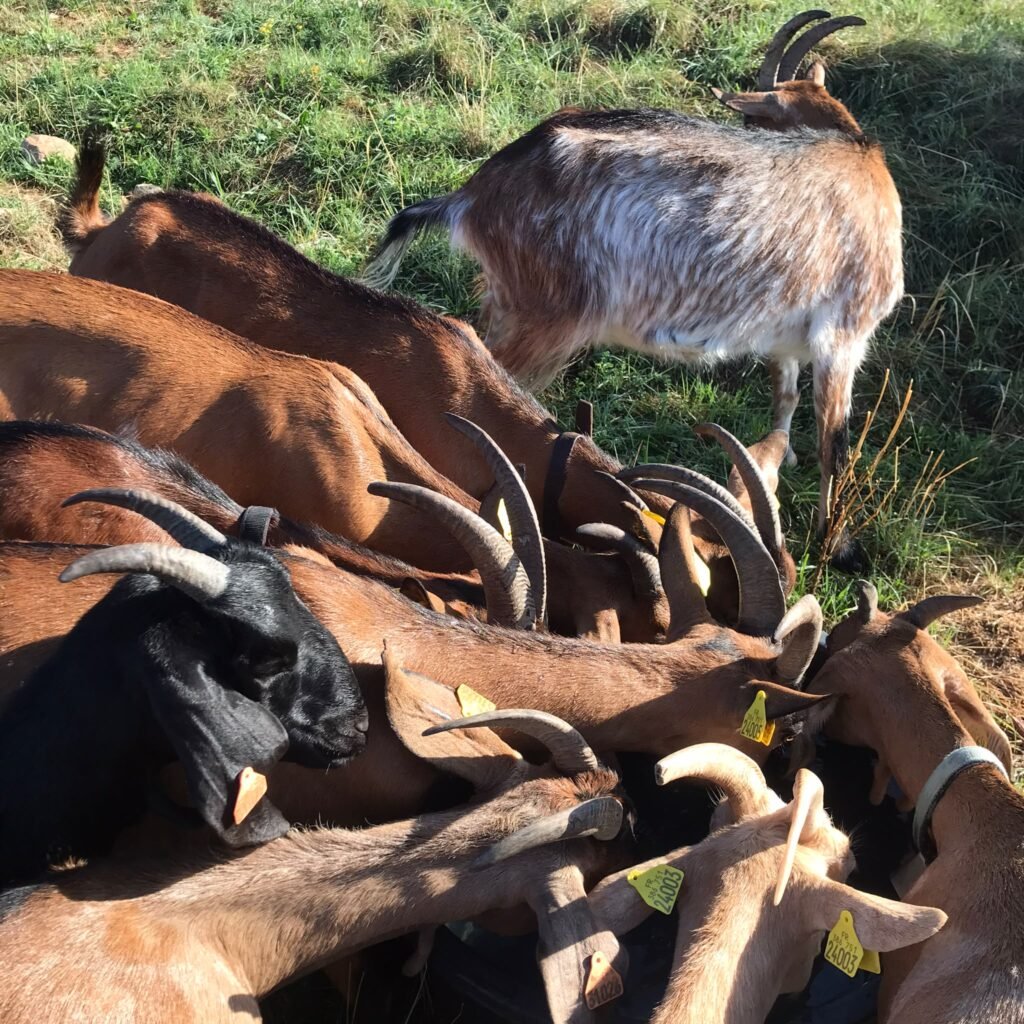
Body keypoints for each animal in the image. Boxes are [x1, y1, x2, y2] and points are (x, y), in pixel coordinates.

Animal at [365, 11, 902, 572]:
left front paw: (786, 459)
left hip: (507, 299)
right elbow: (834, 442)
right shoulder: (845, 333)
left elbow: (786, 394)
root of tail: (473, 194)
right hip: (546, 318)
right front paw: (836, 544)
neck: (856, 159)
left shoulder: (788, 335)